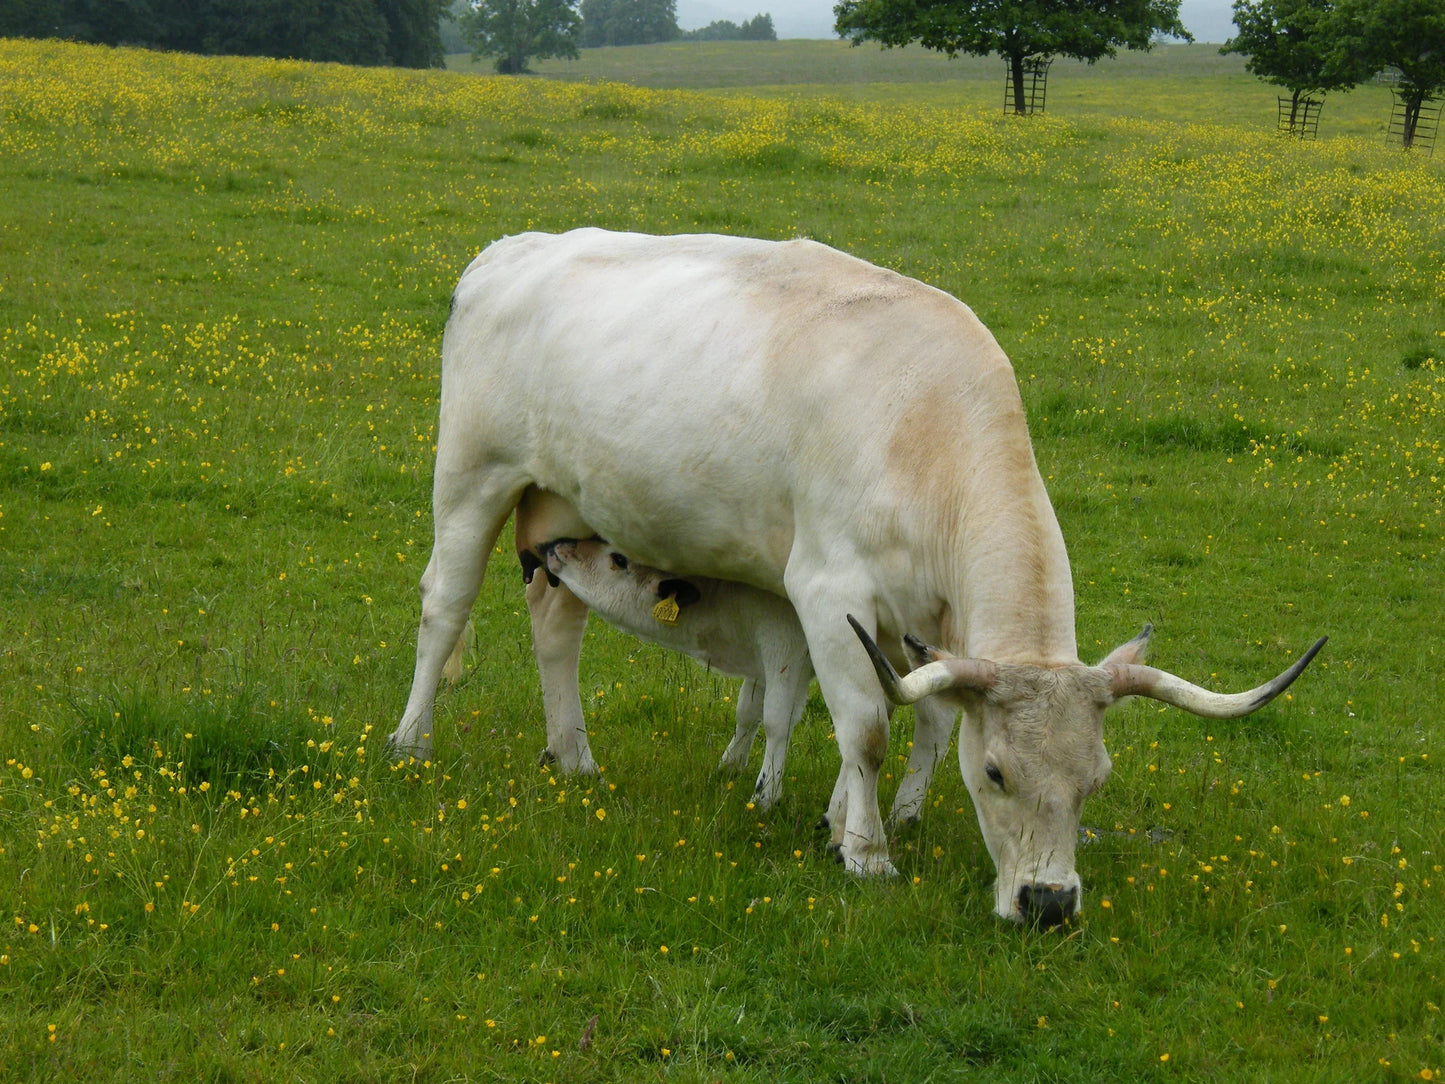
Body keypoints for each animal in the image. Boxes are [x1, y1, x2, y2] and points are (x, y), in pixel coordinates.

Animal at [541, 536, 813, 809]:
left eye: (619, 558)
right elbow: (749, 710)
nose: (558, 545)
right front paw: (731, 765)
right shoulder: (773, 661)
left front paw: (765, 796)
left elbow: (776, 721)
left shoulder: (784, 646)